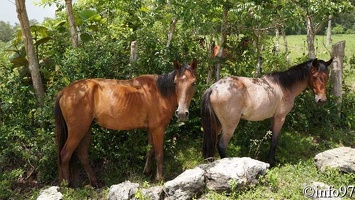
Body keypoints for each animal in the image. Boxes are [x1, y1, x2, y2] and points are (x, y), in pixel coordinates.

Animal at [55, 59, 197, 186]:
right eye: (175, 83)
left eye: (193, 83)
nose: (182, 113)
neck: (159, 92)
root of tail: (65, 91)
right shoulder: (158, 129)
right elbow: (159, 154)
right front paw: (159, 178)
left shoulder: (151, 129)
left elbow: (150, 151)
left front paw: (147, 172)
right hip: (77, 130)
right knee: (65, 154)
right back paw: (67, 185)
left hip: (86, 129)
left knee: (83, 155)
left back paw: (94, 182)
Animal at [203, 58, 334, 166]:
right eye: (315, 76)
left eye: (327, 77)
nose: (321, 100)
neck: (284, 86)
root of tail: (213, 88)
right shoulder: (280, 118)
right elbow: (274, 140)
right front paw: (271, 162)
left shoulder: (273, 117)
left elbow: (270, 137)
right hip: (230, 125)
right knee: (221, 145)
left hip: (218, 124)